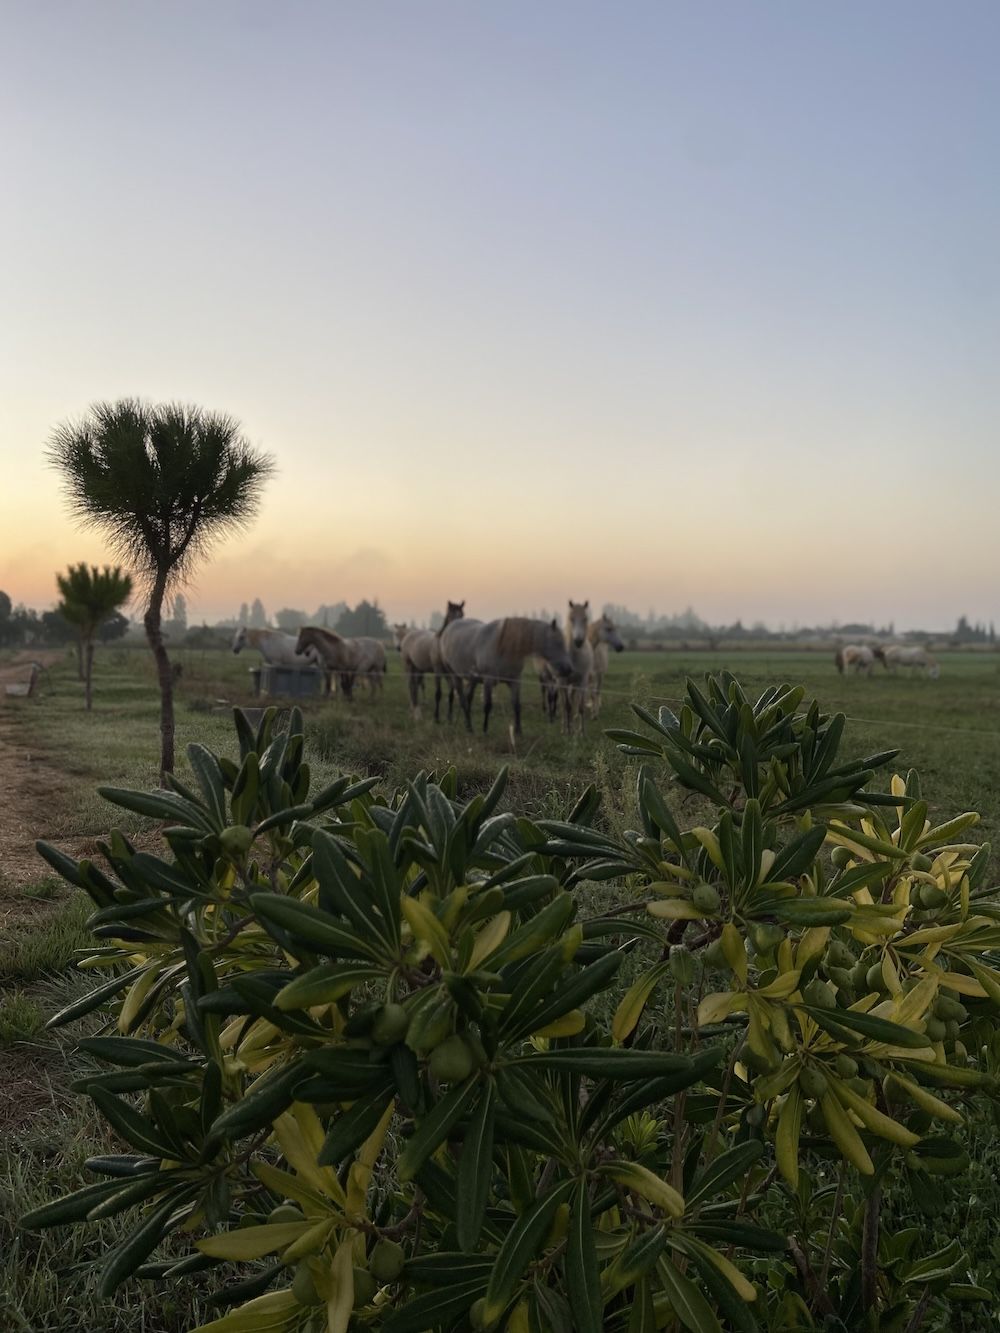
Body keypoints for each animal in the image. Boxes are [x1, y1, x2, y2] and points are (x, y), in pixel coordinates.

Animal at [445, 615, 576, 741]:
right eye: (558, 642)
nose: (568, 669)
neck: (503, 646)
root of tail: (451, 626)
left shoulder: (515, 680)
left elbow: (516, 706)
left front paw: (518, 732)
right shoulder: (488, 680)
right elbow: (488, 705)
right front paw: (485, 730)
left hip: (473, 680)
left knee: (468, 699)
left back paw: (468, 726)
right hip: (455, 676)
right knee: (463, 701)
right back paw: (469, 727)